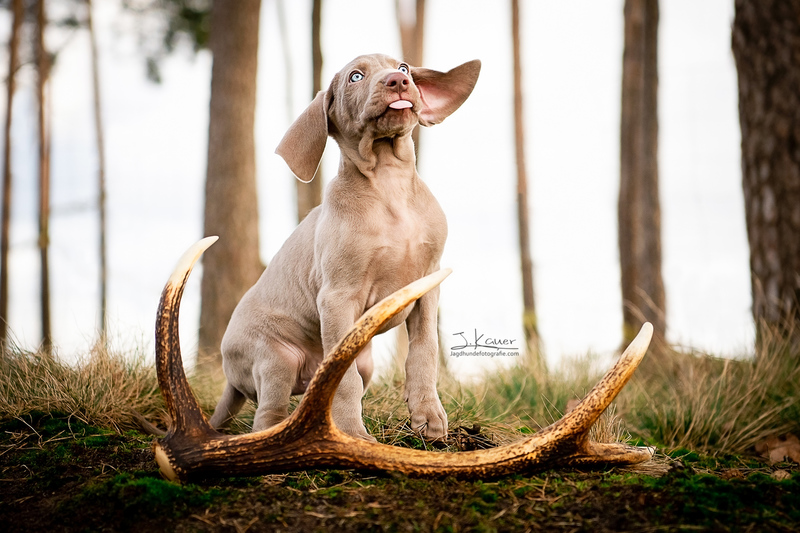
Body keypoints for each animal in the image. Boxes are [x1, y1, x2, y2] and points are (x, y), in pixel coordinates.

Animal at [209, 54, 481, 441]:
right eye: (355, 76)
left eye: (404, 67)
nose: (398, 80)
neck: (389, 185)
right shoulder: (338, 297)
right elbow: (344, 379)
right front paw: (353, 435)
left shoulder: (428, 286)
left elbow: (424, 351)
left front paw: (428, 416)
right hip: (275, 358)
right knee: (269, 412)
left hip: (364, 362)